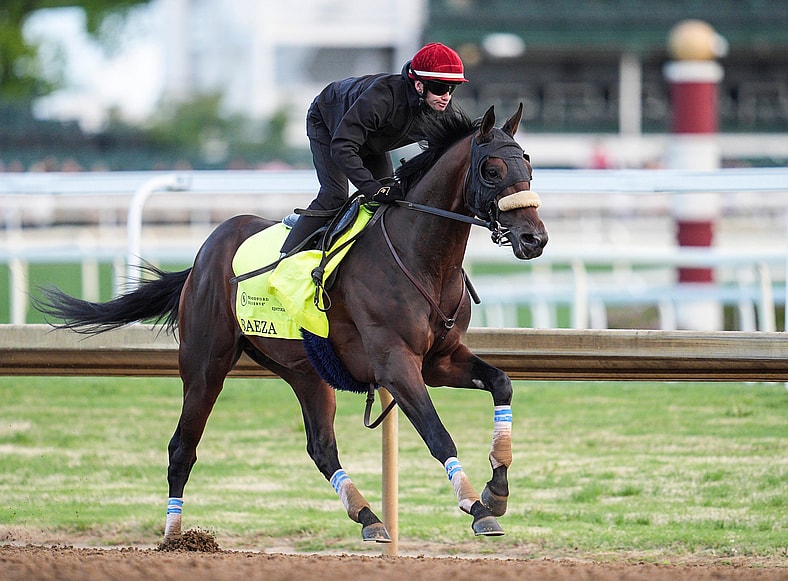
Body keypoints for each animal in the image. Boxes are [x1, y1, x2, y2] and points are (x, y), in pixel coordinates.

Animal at [35, 104, 548, 544]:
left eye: (527, 164)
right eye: (492, 170)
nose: (534, 239)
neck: (420, 257)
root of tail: (203, 254)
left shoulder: (440, 360)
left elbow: (501, 383)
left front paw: (497, 489)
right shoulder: (395, 364)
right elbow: (437, 432)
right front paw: (475, 505)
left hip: (306, 371)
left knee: (321, 447)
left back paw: (368, 517)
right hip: (204, 366)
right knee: (182, 448)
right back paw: (174, 536)